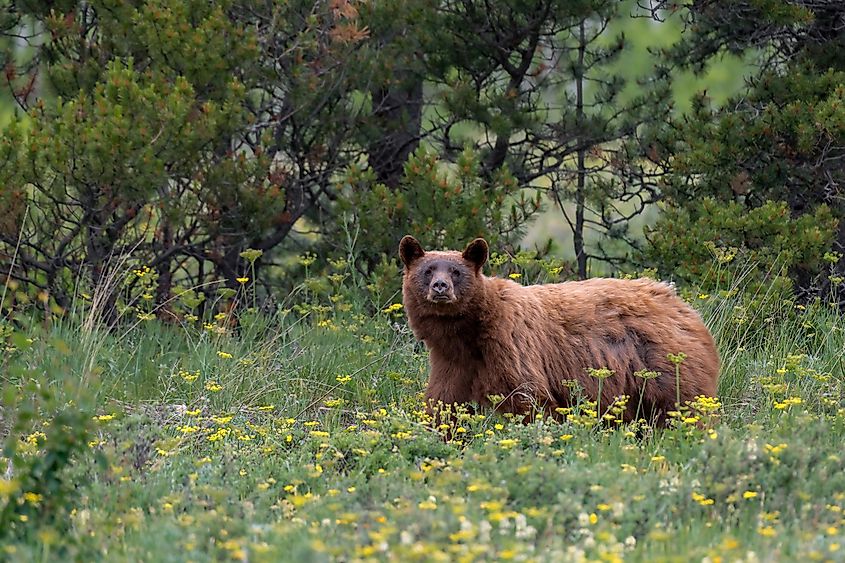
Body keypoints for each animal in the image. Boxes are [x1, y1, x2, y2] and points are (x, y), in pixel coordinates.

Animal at [398, 235, 720, 428]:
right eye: (428, 270)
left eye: (456, 271)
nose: (440, 287)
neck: (469, 333)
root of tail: (680, 303)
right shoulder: (451, 361)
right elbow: (444, 401)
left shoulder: (511, 344)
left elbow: (526, 397)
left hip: (663, 365)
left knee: (680, 405)